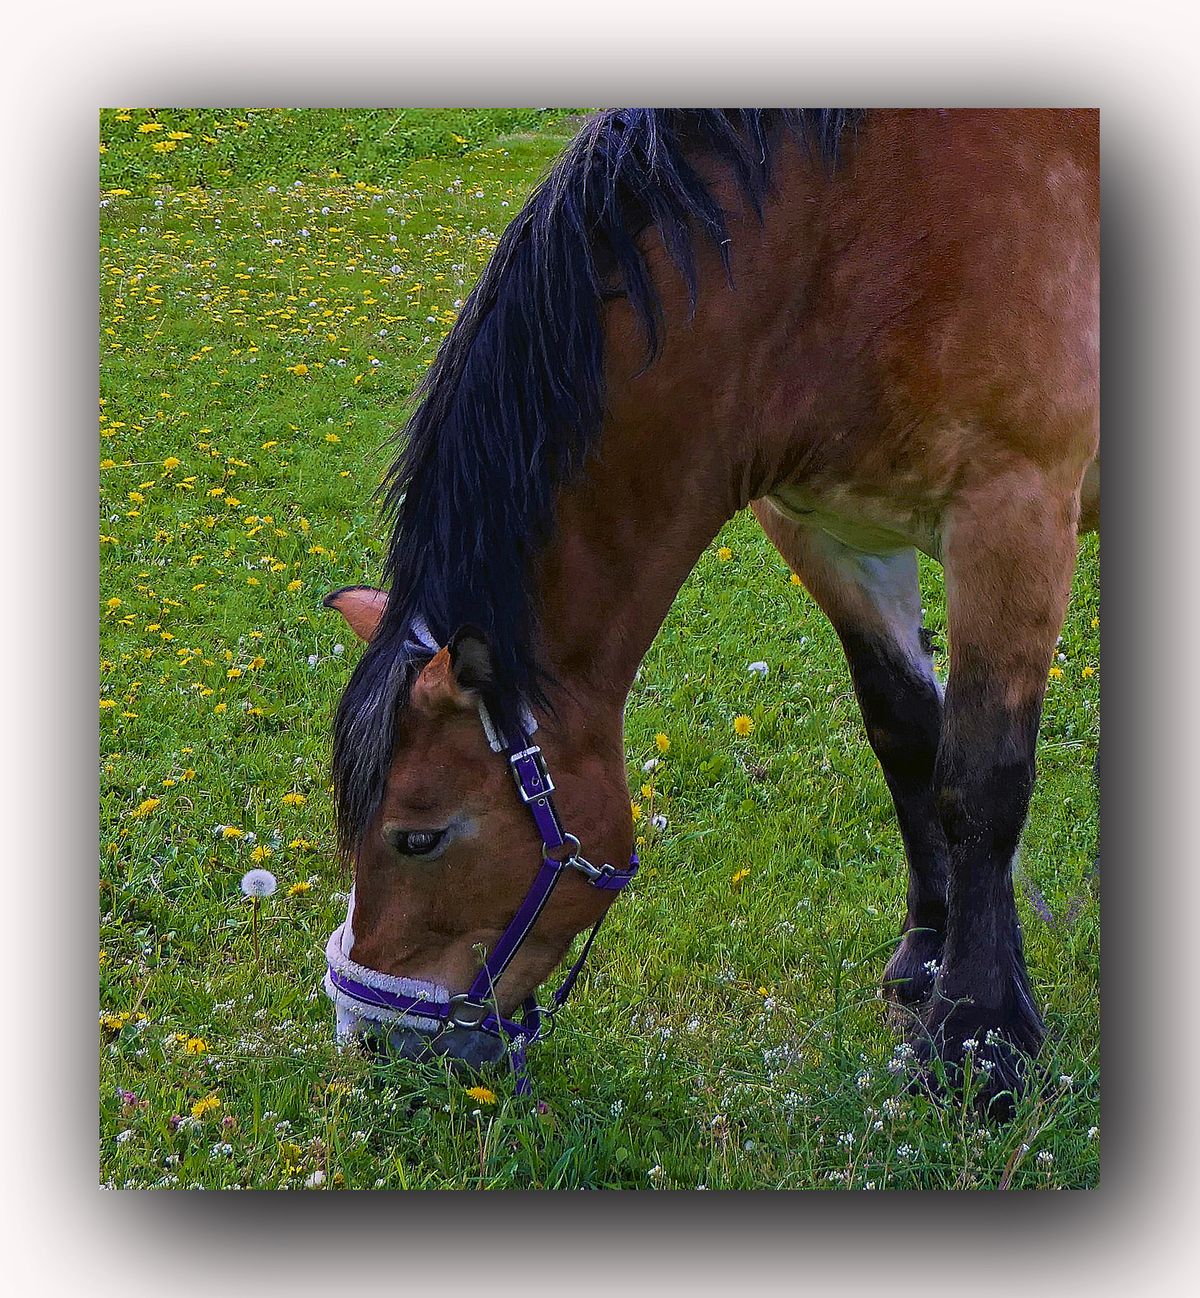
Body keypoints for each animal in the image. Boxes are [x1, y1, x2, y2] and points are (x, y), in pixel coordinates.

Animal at [321, 109, 1099, 1117]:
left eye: (417, 837)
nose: (374, 1043)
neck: (849, 241)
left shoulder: (1014, 518)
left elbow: (982, 785)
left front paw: (981, 1041)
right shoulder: (826, 530)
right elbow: (906, 736)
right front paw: (925, 963)